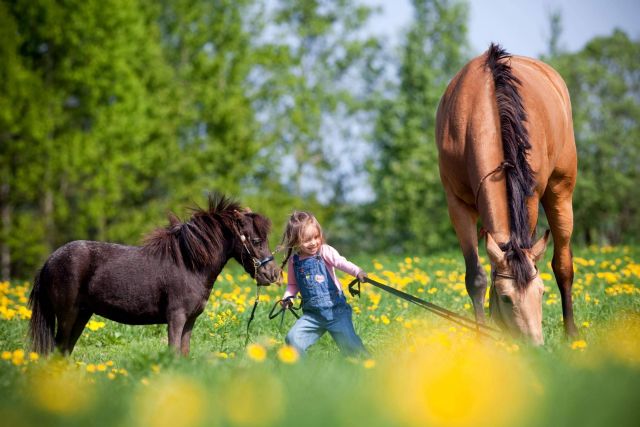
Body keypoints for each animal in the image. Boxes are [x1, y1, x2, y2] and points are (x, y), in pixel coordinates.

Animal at [29, 196, 280, 356]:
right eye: (256, 240)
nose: (272, 274)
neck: (188, 264)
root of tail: (50, 261)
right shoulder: (176, 318)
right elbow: (173, 352)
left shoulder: (190, 321)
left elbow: (184, 354)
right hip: (67, 315)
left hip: (82, 315)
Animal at [438, 42, 576, 344]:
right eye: (506, 298)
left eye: (541, 293)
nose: (536, 345)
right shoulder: (457, 205)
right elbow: (476, 277)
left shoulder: (530, 197)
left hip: (561, 191)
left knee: (563, 265)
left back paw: (572, 333)